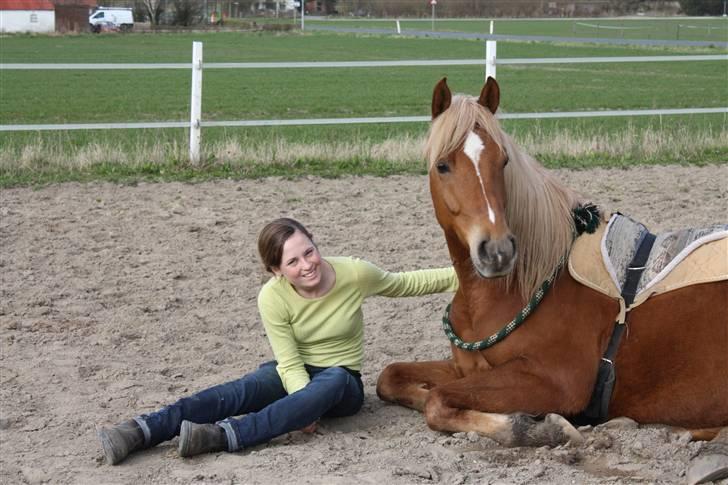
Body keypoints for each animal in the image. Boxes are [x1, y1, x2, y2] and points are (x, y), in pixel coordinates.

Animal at [376, 76, 728, 480]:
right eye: (442, 165)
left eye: (503, 161)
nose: (497, 250)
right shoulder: (467, 368)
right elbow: (391, 378)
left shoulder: (554, 381)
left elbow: (437, 402)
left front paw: (539, 428)